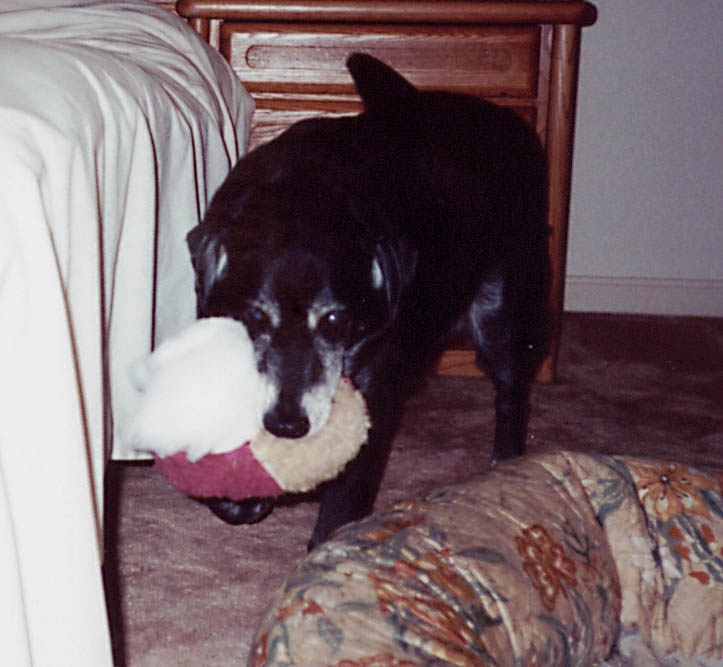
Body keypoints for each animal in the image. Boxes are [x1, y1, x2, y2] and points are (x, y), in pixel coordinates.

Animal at [187, 54, 548, 552]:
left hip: (506, 314)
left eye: (335, 320)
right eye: (254, 316)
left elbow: (346, 493)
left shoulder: (373, 382)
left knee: (511, 393)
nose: (287, 425)